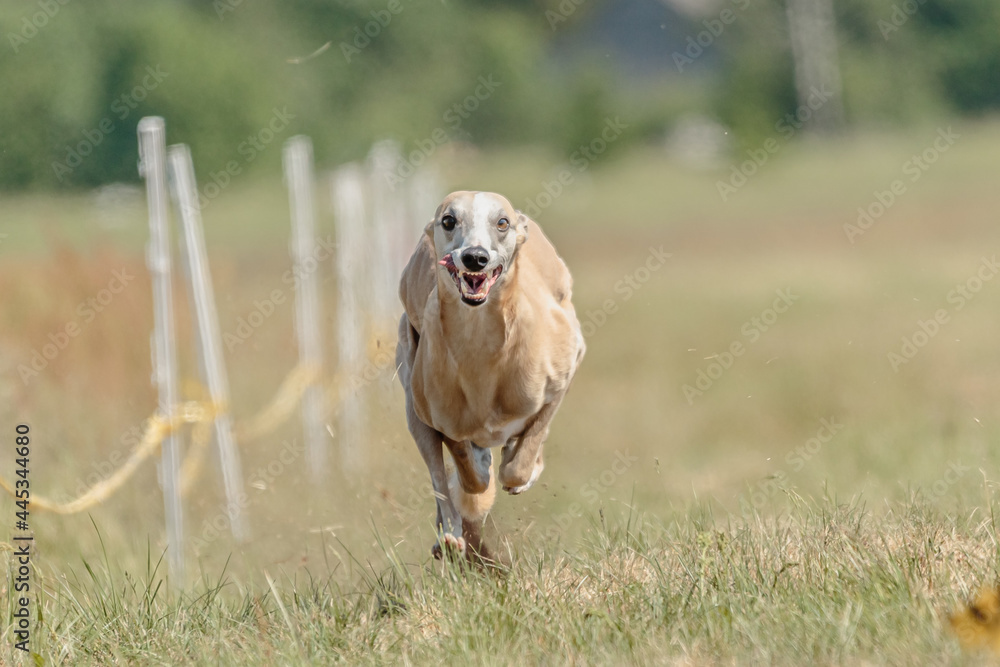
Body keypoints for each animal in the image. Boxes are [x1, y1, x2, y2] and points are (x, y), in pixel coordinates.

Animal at [396, 192, 584, 560]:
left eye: (502, 222)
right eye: (449, 220)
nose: (475, 257)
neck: (482, 348)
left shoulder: (562, 376)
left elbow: (523, 455)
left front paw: (523, 467)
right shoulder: (443, 419)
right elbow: (468, 473)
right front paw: (478, 481)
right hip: (414, 408)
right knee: (440, 480)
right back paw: (450, 536)